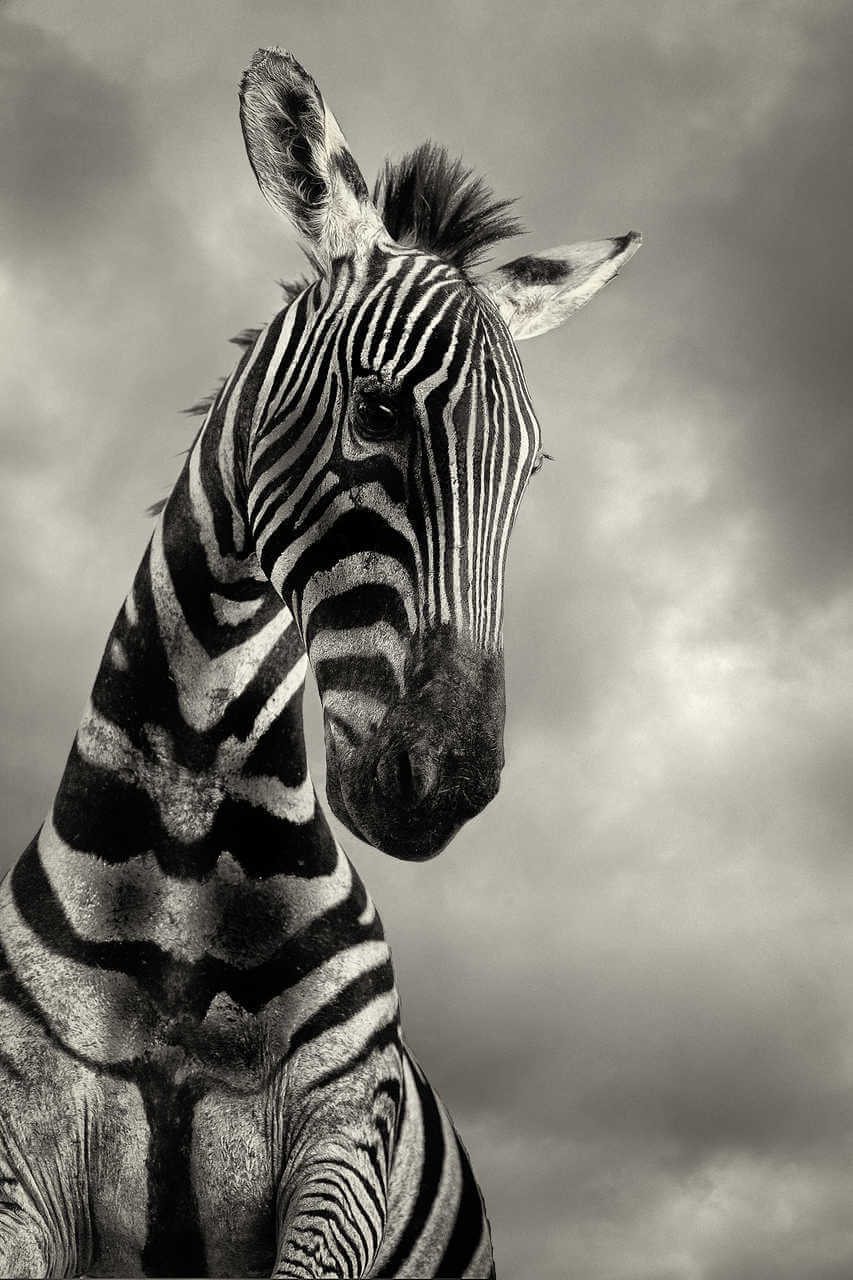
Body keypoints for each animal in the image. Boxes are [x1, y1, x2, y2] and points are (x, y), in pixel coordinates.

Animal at [0, 47, 639, 1279]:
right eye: (378, 410)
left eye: (527, 471)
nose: (449, 782)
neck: (185, 826)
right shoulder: (24, 1145)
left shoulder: (344, 1137)